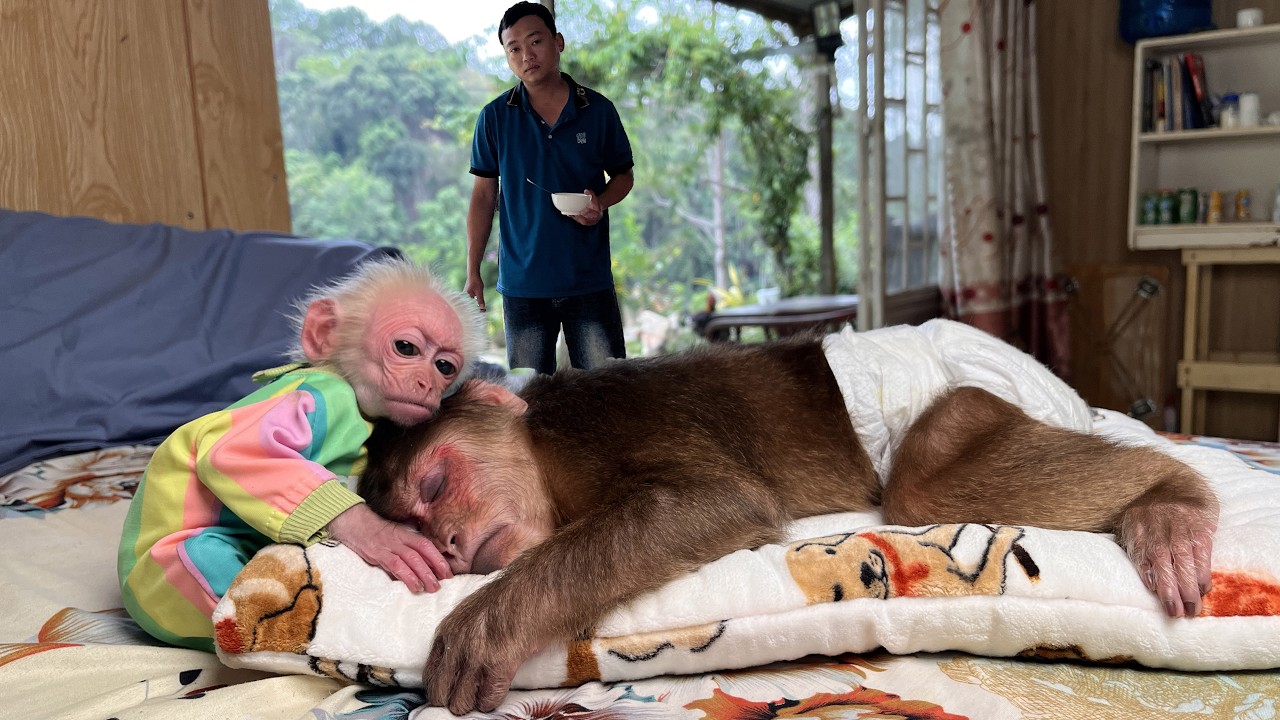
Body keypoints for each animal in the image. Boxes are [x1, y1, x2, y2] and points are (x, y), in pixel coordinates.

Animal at [118, 256, 486, 653]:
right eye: (406, 348)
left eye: (444, 367)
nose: (427, 384)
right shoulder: (322, 393)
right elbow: (234, 450)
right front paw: (378, 533)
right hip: (163, 585)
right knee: (206, 555)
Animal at [358, 319, 1218, 715]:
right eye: (420, 528)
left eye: (434, 484)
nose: (452, 543)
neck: (542, 456)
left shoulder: (594, 427)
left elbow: (714, 501)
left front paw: (487, 621)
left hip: (972, 376)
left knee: (928, 484)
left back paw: (1173, 492)